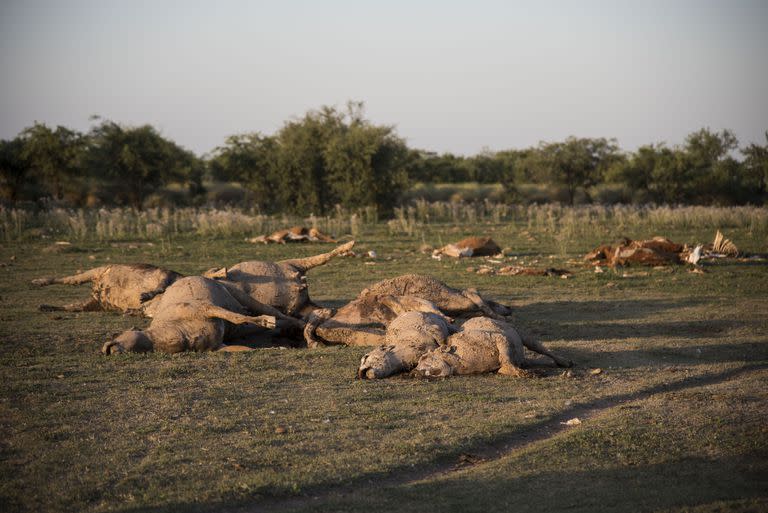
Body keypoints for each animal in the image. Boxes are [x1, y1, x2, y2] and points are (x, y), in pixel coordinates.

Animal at [30, 266, 184, 314]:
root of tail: (95, 291)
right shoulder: (166, 274)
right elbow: (160, 287)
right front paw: (144, 296)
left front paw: (130, 311)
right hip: (98, 270)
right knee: (71, 279)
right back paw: (37, 282)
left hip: (95, 304)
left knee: (73, 306)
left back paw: (45, 307)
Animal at [414, 316, 568, 376]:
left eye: (424, 358)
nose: (414, 371)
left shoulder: (499, 338)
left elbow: (505, 357)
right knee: (526, 360)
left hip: (521, 335)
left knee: (538, 347)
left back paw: (564, 362)